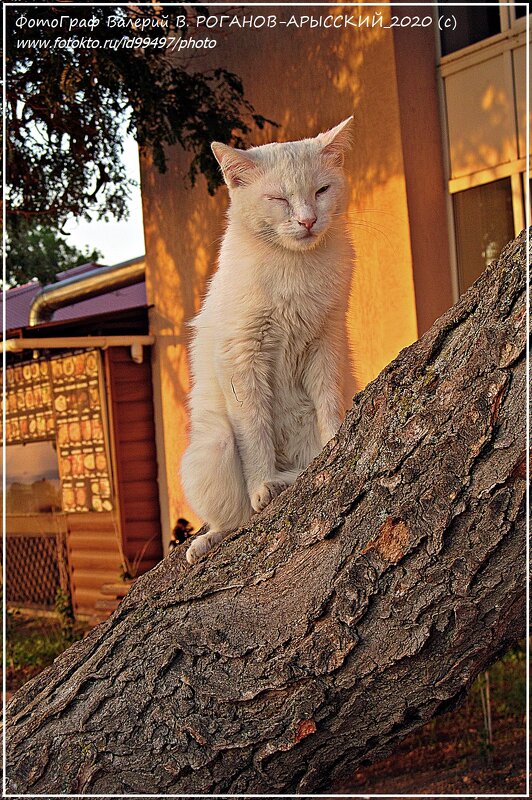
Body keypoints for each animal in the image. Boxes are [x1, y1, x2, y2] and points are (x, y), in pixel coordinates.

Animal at [182, 117, 354, 564]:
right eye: (278, 198)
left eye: (321, 191)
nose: (308, 220)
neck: (293, 266)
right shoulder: (244, 360)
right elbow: (254, 435)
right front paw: (262, 483)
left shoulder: (326, 343)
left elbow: (329, 403)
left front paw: (337, 439)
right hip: (213, 447)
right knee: (234, 518)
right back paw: (210, 537)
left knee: (298, 470)